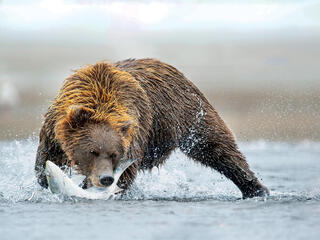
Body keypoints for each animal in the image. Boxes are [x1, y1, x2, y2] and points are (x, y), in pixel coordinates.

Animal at [35, 58, 268, 199]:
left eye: (114, 153)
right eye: (92, 151)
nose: (105, 178)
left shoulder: (135, 132)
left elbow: (127, 173)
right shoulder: (53, 130)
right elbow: (47, 156)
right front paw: (46, 181)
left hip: (190, 114)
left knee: (217, 147)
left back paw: (256, 188)